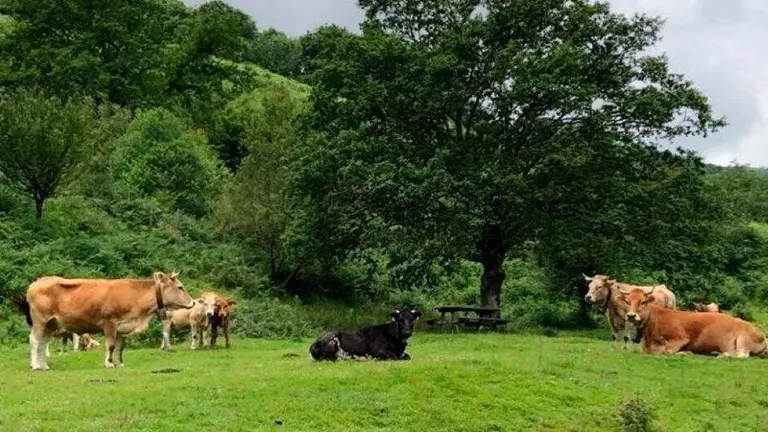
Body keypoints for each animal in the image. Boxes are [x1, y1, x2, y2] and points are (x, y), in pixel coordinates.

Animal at [23, 271, 194, 370]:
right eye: (180, 287)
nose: (192, 303)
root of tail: (36, 283)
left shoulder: (123, 327)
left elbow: (120, 347)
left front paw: (120, 363)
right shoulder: (110, 322)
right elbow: (111, 345)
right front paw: (109, 363)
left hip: (50, 324)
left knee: (43, 342)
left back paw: (44, 365)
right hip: (40, 320)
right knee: (34, 340)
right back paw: (35, 365)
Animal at [620, 287, 768, 358]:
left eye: (643, 302)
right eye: (628, 301)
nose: (631, 315)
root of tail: (762, 335)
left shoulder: (681, 338)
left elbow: (667, 350)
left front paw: (685, 353)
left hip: (743, 339)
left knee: (742, 355)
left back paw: (723, 355)